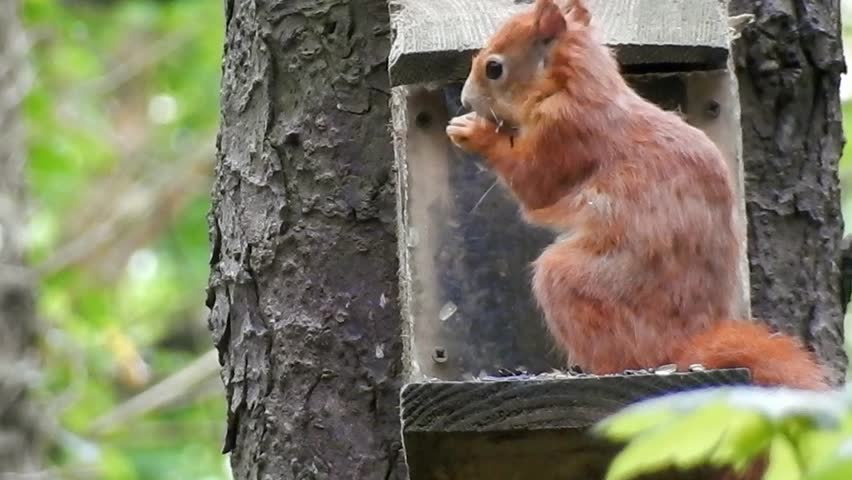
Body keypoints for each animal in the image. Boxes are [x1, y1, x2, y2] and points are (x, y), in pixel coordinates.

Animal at [446, 0, 828, 391]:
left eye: (494, 68)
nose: (463, 98)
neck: (579, 86)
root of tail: (683, 346)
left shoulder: (566, 134)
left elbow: (533, 184)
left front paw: (474, 132)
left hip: (579, 283)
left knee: (623, 356)